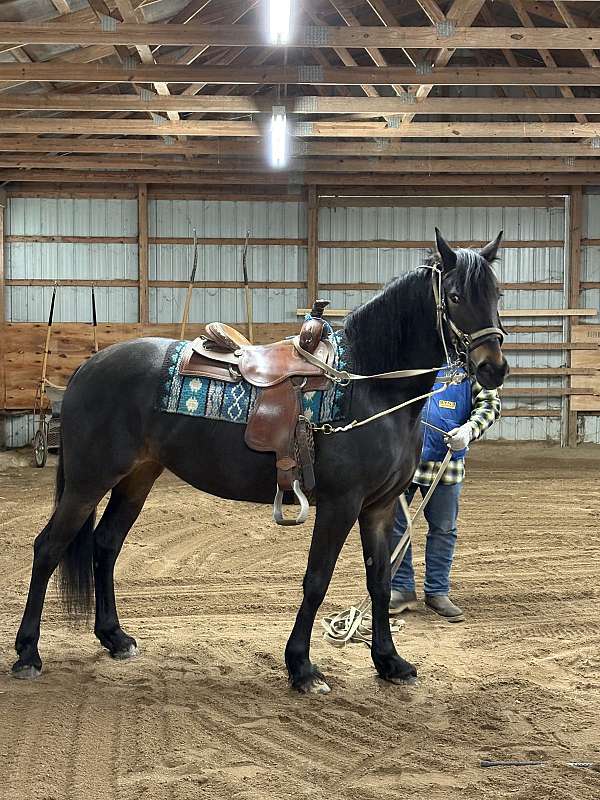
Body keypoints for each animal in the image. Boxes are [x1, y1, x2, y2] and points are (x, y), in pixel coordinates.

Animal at [11, 229, 508, 694]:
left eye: (497, 294)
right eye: (456, 296)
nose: (494, 368)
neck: (368, 386)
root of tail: (87, 367)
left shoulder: (380, 508)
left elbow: (380, 582)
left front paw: (389, 662)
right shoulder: (341, 504)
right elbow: (317, 579)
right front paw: (302, 668)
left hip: (137, 478)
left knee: (106, 544)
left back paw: (114, 637)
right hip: (87, 482)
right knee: (48, 548)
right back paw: (28, 653)